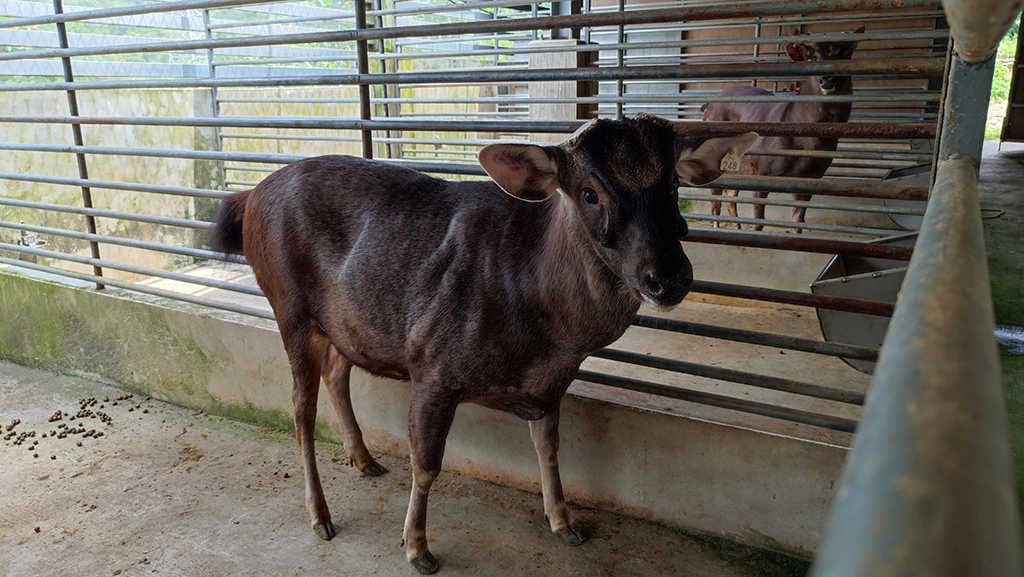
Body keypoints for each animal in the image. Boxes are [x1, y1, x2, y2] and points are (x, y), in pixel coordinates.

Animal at [209, 113, 757, 574]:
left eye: (673, 183)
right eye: (588, 192)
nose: (669, 276)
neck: (547, 337)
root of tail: (247, 197)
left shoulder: (550, 387)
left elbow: (549, 448)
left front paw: (564, 522)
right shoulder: (432, 364)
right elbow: (427, 464)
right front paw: (417, 548)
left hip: (345, 325)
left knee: (337, 373)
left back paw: (364, 460)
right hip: (289, 307)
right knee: (300, 407)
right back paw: (320, 514)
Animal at [702, 26, 864, 232]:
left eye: (847, 55)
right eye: (814, 57)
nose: (827, 80)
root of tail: (709, 105)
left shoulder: (810, 180)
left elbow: (798, 222)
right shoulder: (761, 171)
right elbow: (758, 223)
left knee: (730, 195)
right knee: (715, 200)